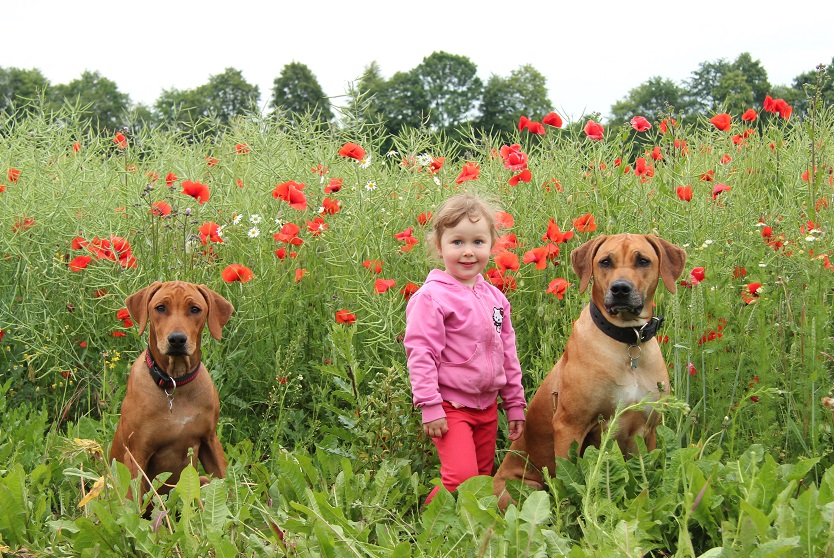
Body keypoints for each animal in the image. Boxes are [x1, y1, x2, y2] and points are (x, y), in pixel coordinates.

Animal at [110, 282, 232, 506]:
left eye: (194, 309)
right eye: (160, 308)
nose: (177, 339)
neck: (175, 384)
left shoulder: (210, 440)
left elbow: (226, 484)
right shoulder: (136, 455)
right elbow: (134, 503)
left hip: (201, 480)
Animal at [494, 236, 684, 512]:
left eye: (643, 260)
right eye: (605, 261)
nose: (620, 289)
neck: (627, 343)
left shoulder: (648, 430)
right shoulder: (569, 426)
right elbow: (567, 482)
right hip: (523, 487)